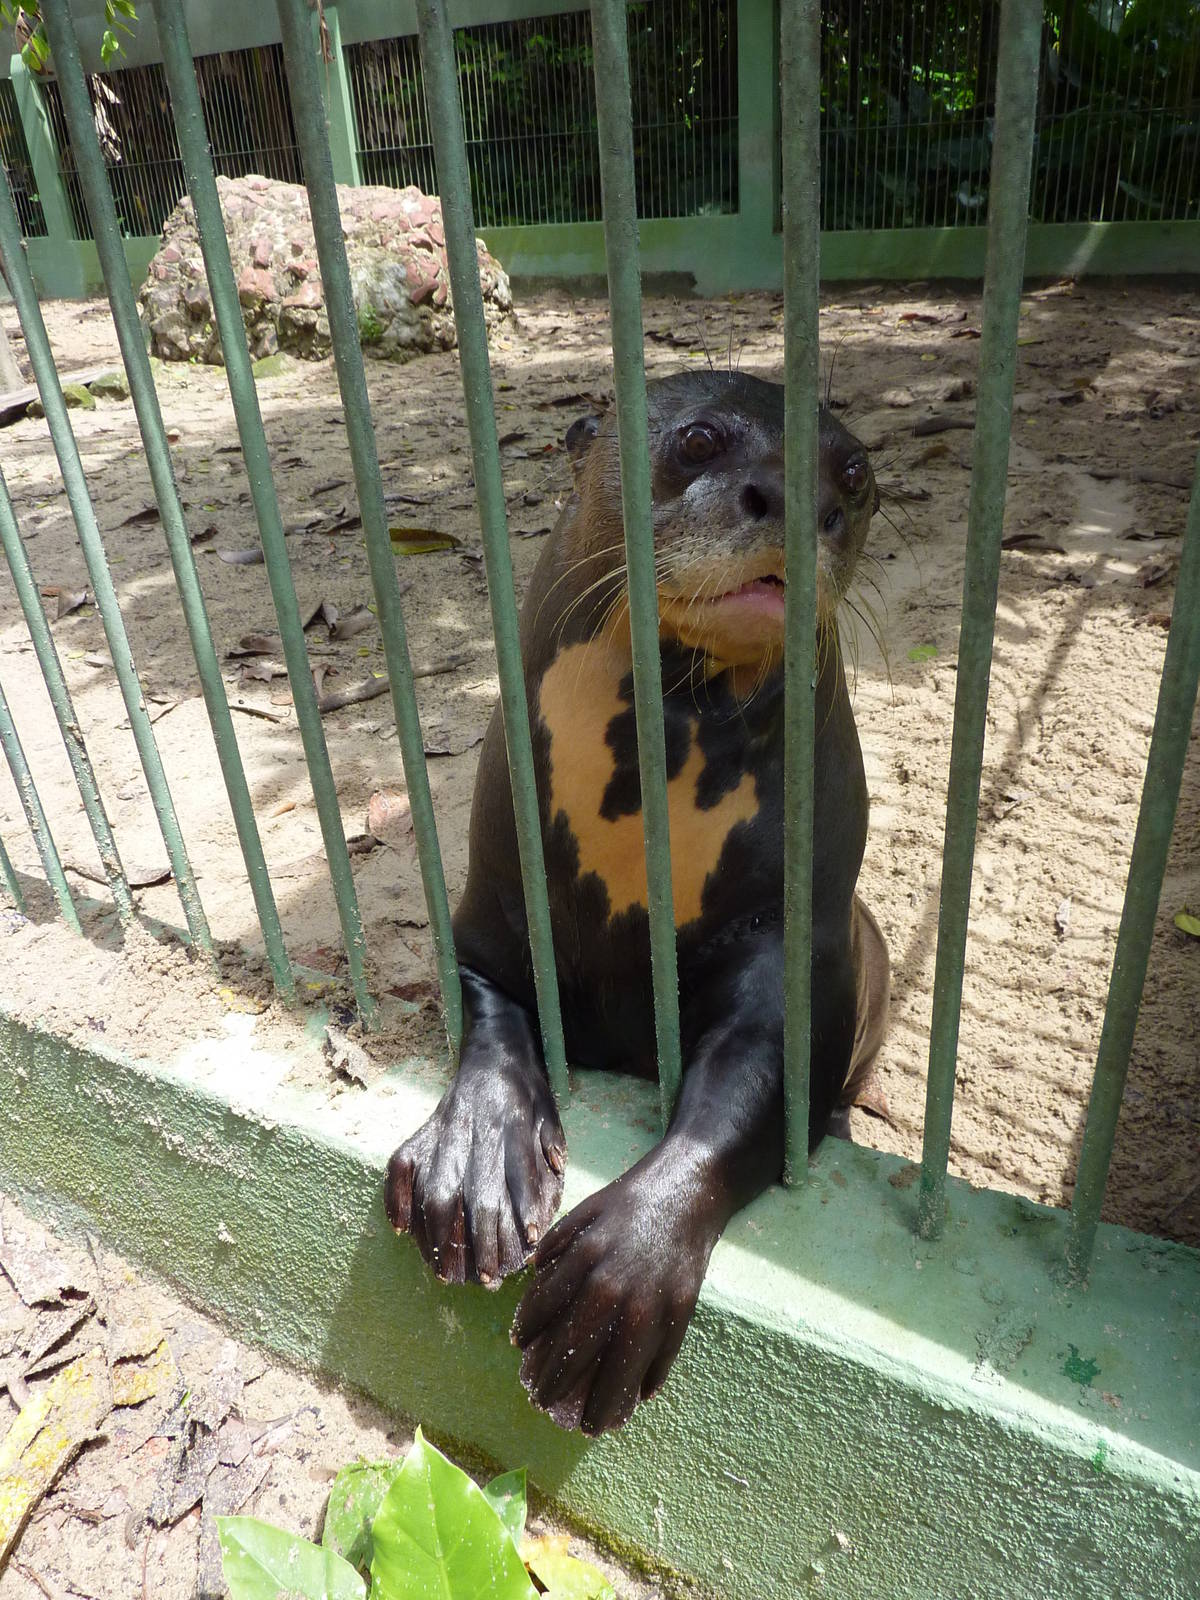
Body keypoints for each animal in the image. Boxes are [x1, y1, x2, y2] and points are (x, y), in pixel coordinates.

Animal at [386, 370, 889, 1435]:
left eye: (856, 474)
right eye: (698, 440)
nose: (802, 502)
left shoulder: (790, 940)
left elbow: (747, 1093)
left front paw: (615, 1280)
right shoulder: (495, 899)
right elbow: (489, 1005)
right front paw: (476, 1166)